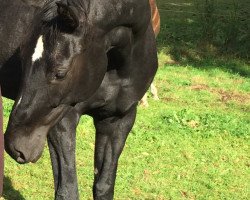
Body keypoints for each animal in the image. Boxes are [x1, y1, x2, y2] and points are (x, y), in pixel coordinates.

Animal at [3, 0, 156, 198]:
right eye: (21, 59)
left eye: (60, 73)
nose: (15, 146)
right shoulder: (63, 122)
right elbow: (67, 190)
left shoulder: (117, 121)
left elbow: (103, 187)